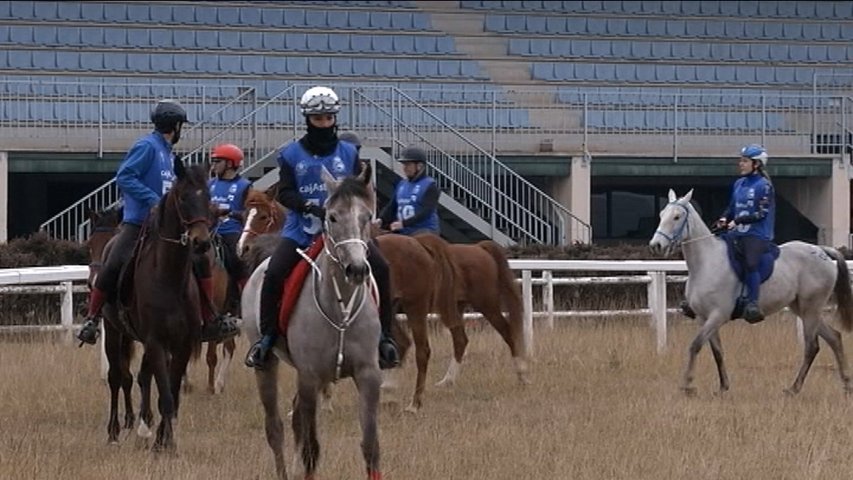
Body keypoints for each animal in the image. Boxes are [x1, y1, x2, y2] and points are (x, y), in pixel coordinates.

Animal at [241, 166, 384, 480]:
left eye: (367, 216)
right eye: (332, 217)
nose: (357, 270)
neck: (340, 307)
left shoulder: (368, 375)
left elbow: (371, 447)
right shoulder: (309, 376)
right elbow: (311, 449)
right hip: (267, 366)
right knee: (276, 428)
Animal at [648, 189, 848, 396]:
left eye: (677, 217)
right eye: (662, 214)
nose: (656, 245)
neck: (706, 263)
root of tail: (822, 251)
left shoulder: (717, 316)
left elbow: (695, 345)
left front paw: (687, 384)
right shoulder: (704, 318)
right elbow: (717, 351)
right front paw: (723, 387)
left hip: (811, 309)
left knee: (811, 346)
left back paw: (794, 388)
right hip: (803, 309)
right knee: (834, 337)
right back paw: (846, 384)